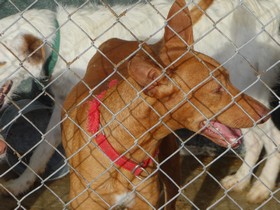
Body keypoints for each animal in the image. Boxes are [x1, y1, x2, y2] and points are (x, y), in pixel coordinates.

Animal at [0, 0, 278, 204]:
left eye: (2, 61)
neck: (60, 41)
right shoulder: (65, 107)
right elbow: (43, 147)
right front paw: (21, 184)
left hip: (244, 96)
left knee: (273, 139)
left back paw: (261, 188)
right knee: (254, 141)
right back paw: (241, 180)